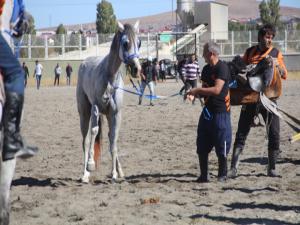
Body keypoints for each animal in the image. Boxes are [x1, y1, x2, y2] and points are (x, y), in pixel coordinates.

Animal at [77, 21, 142, 183]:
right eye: (125, 43)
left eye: (139, 42)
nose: (137, 69)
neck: (109, 77)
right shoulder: (95, 108)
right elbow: (94, 132)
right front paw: (91, 165)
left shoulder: (116, 113)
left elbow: (113, 139)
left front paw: (114, 174)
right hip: (84, 113)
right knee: (86, 139)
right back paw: (85, 174)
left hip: (106, 114)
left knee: (107, 136)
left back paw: (119, 171)